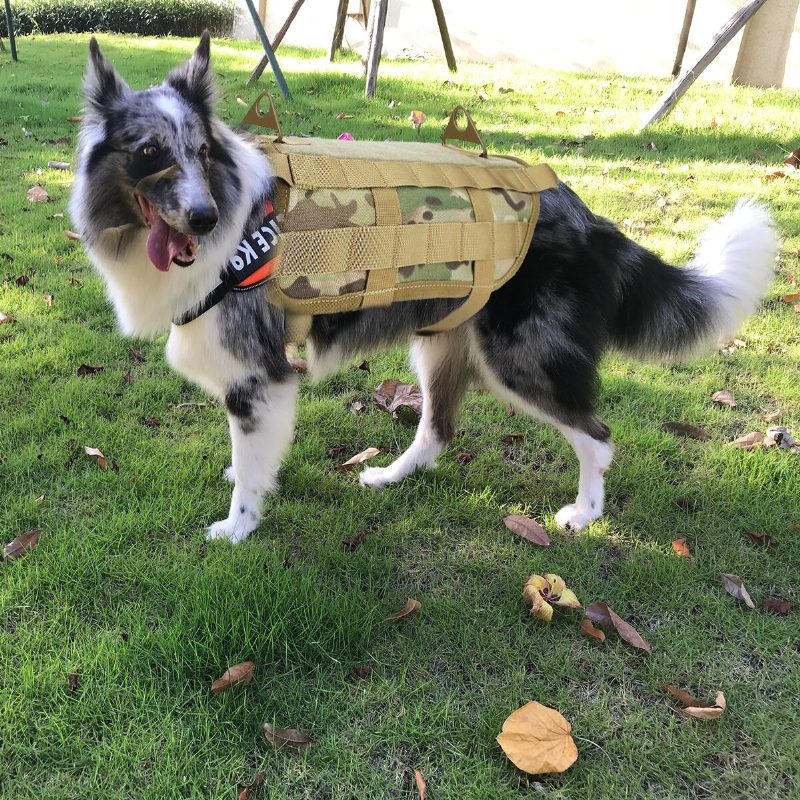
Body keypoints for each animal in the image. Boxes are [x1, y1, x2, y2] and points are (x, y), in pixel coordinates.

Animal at [70, 32, 780, 544]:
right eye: (149, 152)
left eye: (198, 151)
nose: (203, 219)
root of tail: (587, 214)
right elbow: (249, 455)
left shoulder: (259, 375)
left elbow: (249, 475)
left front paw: (238, 526)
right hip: (441, 344)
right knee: (437, 431)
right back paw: (390, 474)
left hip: (522, 360)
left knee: (597, 437)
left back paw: (584, 514)